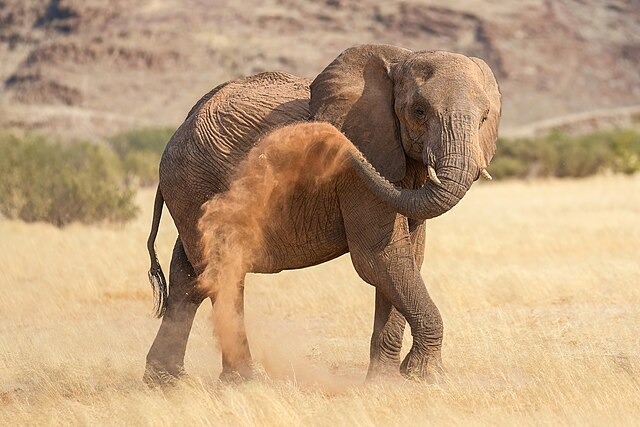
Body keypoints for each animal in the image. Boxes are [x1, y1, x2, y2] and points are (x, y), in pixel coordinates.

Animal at [143, 44, 501, 384]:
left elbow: (409, 256)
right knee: (222, 270)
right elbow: (379, 257)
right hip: (192, 181)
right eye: (419, 111)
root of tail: (182, 125)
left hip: (192, 192)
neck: (401, 59)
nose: (324, 138)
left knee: (187, 275)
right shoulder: (358, 174)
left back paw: (166, 381)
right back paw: (243, 381)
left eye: (485, 118)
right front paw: (426, 377)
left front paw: (389, 380)